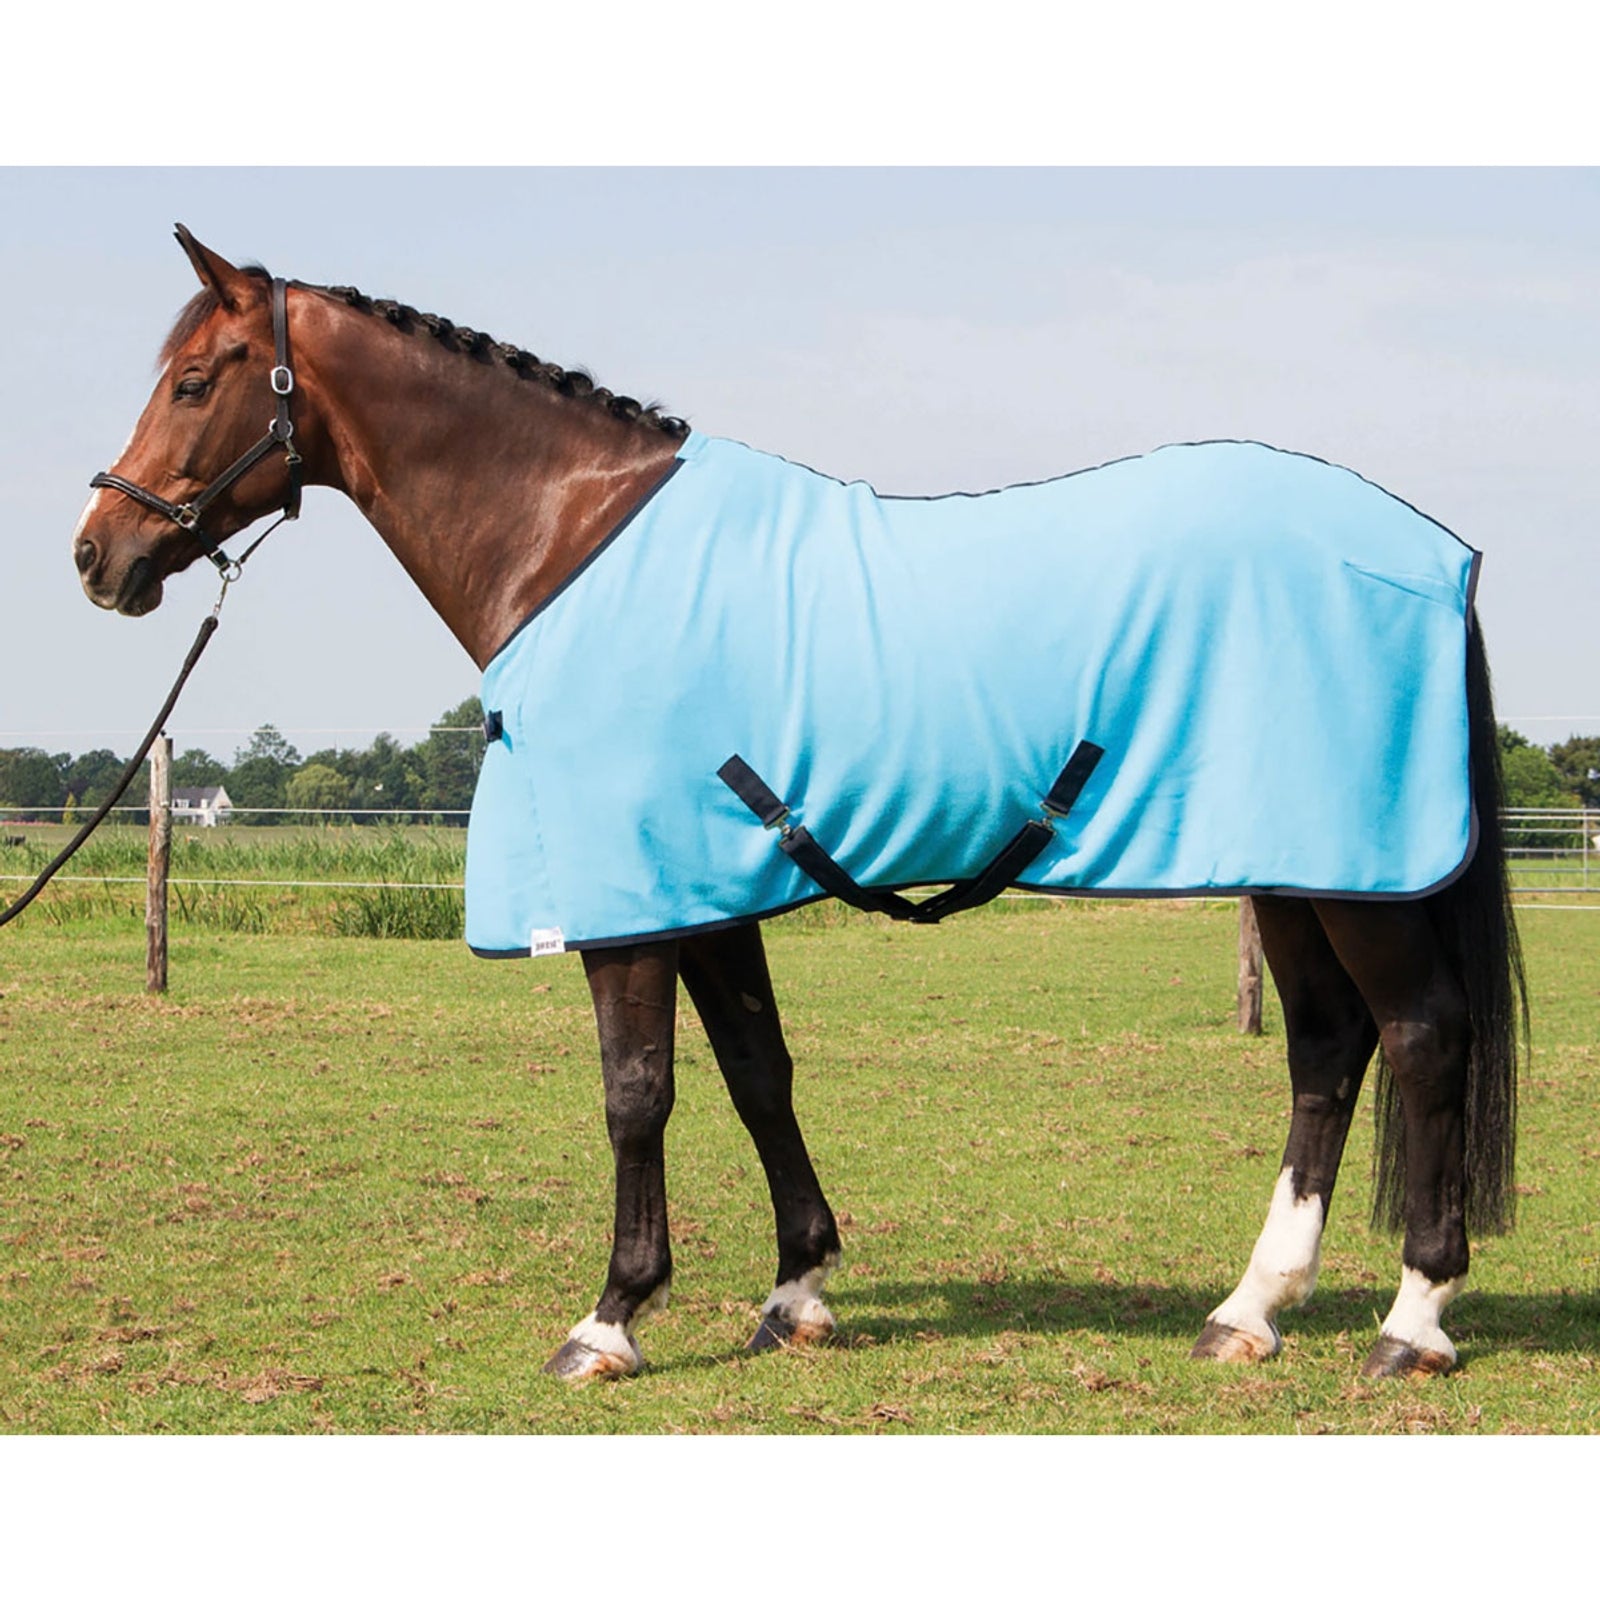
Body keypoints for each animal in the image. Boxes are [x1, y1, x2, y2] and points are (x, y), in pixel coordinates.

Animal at [71, 226, 1525, 1383]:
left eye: (194, 380)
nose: (99, 555)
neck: (567, 541)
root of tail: (1437, 551)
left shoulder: (636, 905)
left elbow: (638, 1092)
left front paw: (610, 1319)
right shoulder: (714, 884)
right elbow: (756, 1072)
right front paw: (798, 1290)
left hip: (1351, 878)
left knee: (1420, 1036)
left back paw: (1413, 1321)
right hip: (1294, 865)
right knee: (1327, 1050)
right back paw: (1248, 1311)